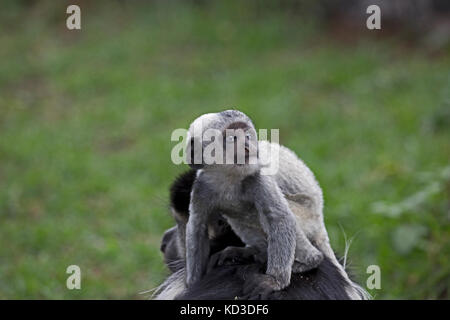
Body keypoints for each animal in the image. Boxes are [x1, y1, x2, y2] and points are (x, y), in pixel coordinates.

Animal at [185, 110, 336, 298]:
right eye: (232, 138)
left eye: (247, 135)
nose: (247, 146)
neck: (228, 178)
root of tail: (319, 216)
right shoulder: (201, 186)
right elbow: (197, 226)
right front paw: (193, 283)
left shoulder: (257, 177)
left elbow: (280, 219)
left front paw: (274, 281)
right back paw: (254, 252)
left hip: (307, 216)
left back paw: (311, 260)